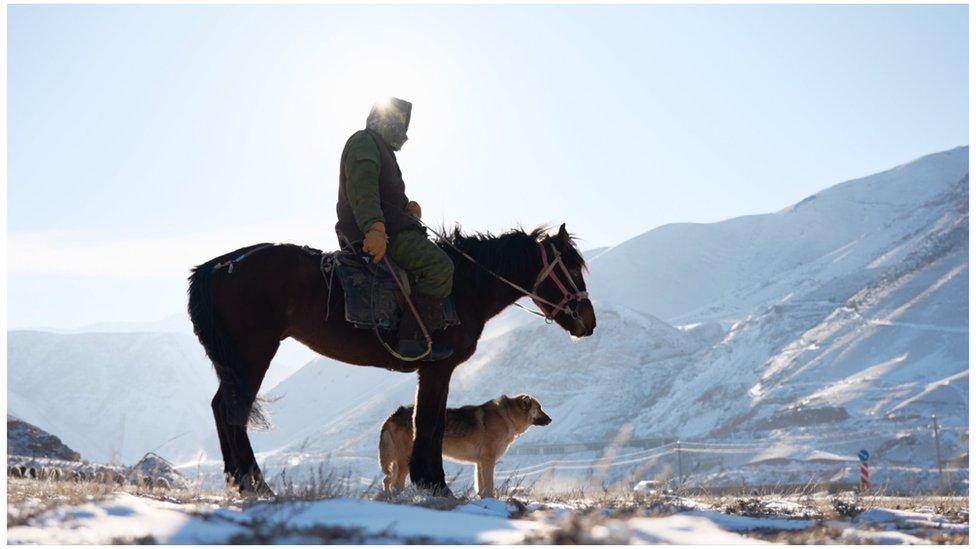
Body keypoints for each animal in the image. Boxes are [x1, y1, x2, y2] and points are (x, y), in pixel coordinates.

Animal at [380, 394, 552, 496]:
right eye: (539, 408)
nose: (551, 420)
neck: (508, 417)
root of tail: (393, 414)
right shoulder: (488, 461)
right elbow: (489, 485)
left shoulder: (479, 463)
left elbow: (481, 487)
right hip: (404, 461)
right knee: (396, 483)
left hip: (396, 463)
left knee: (386, 481)